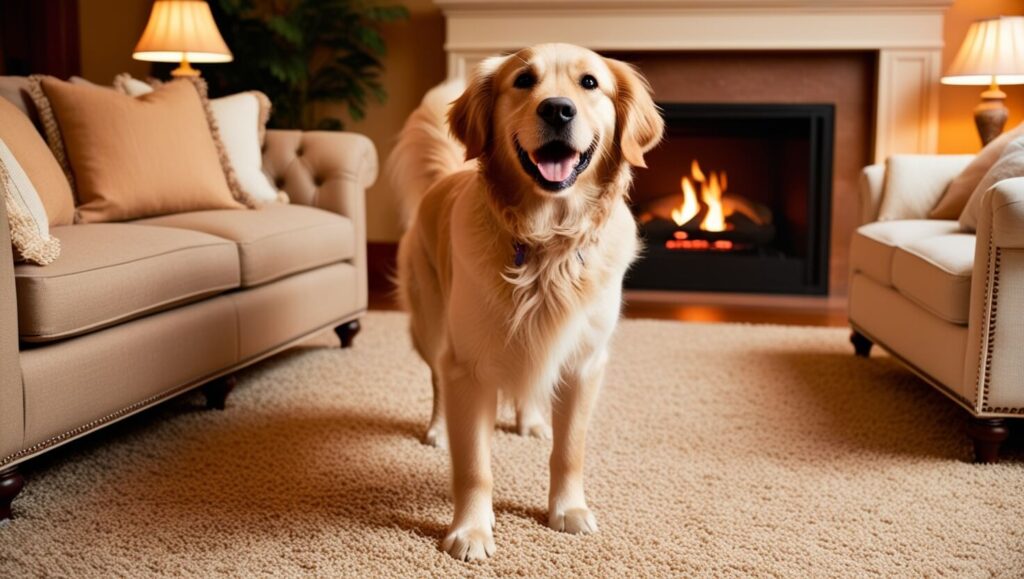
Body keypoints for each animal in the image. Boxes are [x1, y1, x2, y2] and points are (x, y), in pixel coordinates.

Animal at [385, 42, 663, 557]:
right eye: (523, 81)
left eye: (589, 82)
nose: (557, 109)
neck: (547, 243)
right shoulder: (467, 366)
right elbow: (474, 465)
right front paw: (471, 531)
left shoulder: (584, 363)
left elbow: (569, 451)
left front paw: (567, 510)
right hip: (431, 325)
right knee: (435, 379)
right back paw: (436, 429)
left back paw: (530, 421)